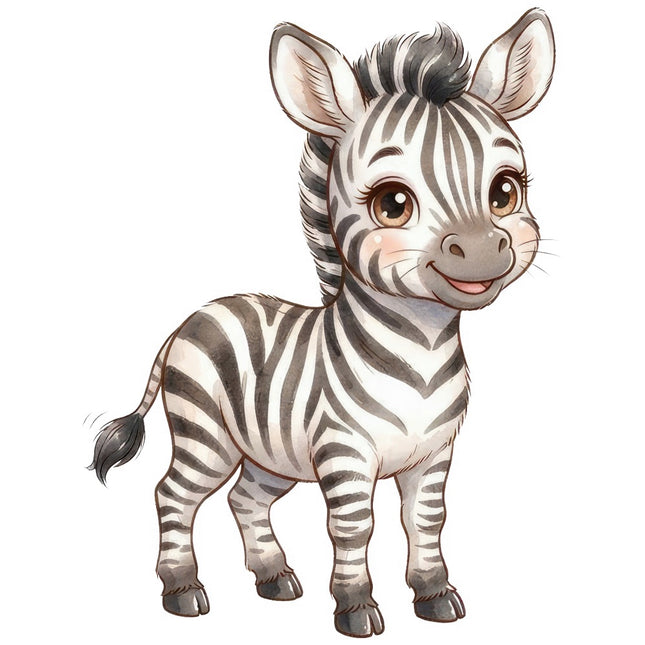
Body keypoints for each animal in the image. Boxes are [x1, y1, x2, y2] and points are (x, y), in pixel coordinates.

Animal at [90, 9, 555, 638]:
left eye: (505, 191)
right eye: (392, 204)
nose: (482, 251)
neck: (423, 347)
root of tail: (192, 318)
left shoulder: (434, 452)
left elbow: (427, 520)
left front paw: (434, 595)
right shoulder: (345, 451)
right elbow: (354, 528)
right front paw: (356, 608)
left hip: (269, 452)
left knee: (245, 500)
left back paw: (273, 578)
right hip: (206, 434)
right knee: (173, 495)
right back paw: (182, 590)